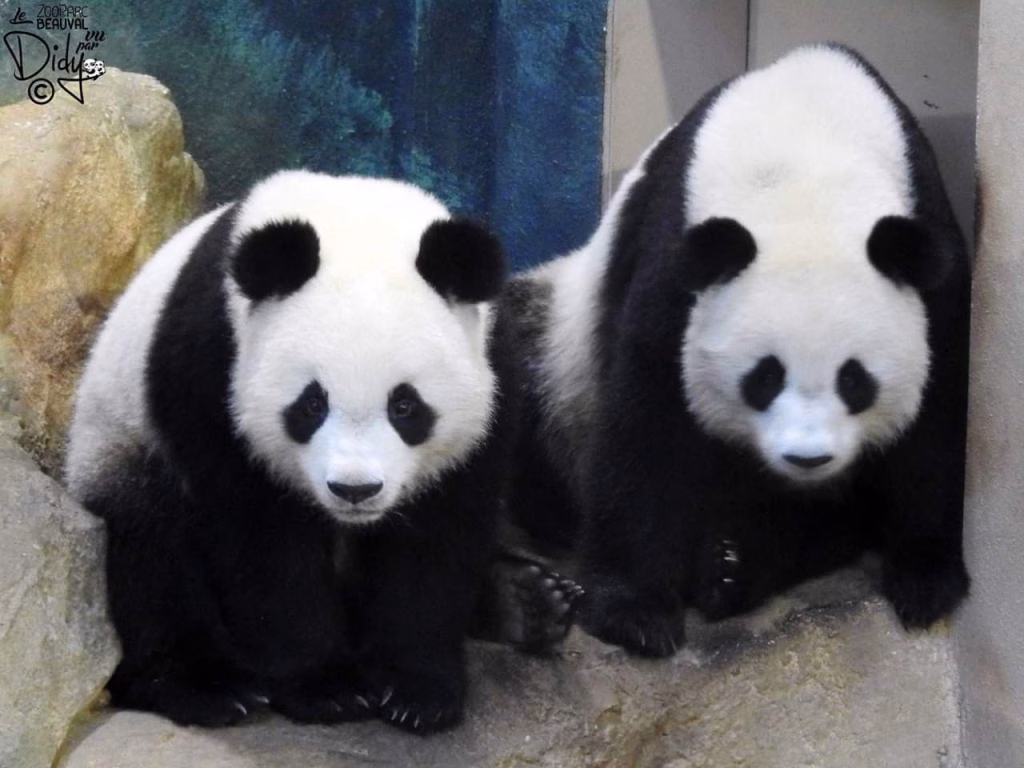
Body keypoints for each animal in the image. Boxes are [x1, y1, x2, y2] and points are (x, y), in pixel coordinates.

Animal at [65, 170, 576, 733]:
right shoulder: (211, 365)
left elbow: (439, 536)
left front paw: (417, 690)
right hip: (121, 440)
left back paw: (527, 602)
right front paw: (327, 688)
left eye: (405, 405)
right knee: (153, 550)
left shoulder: (493, 379)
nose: (355, 489)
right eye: (312, 403)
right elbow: (262, 539)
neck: (353, 224)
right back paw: (206, 687)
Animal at [499, 43, 971, 657]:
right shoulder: (672, 260)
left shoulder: (934, 259)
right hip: (560, 355)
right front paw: (633, 612)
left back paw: (733, 566)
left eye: (854, 380)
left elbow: (938, 419)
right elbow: (648, 417)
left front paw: (925, 579)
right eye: (764, 377)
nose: (808, 458)